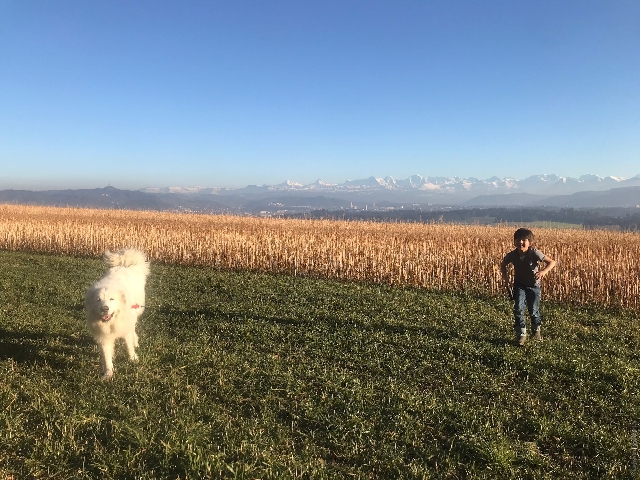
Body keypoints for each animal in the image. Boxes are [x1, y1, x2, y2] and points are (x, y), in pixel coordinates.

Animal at [85, 248, 150, 378]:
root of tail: (124, 265)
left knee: (133, 329)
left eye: (112, 299)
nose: (104, 308)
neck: (112, 321)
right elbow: (106, 356)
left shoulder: (126, 328)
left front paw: (133, 359)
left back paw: (135, 341)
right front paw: (108, 374)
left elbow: (129, 346)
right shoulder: (104, 336)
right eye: (98, 300)